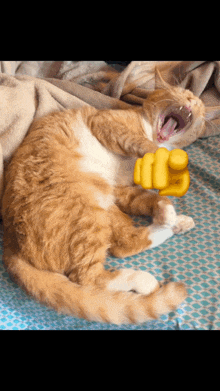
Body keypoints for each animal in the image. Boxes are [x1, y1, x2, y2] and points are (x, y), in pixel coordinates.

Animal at [1, 76, 205, 324]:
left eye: (199, 103)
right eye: (179, 92)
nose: (191, 99)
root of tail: (11, 244)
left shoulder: (121, 190)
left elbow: (148, 199)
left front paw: (165, 210)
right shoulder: (105, 123)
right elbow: (141, 144)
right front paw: (160, 159)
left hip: (103, 204)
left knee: (123, 243)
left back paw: (176, 223)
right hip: (87, 209)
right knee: (92, 275)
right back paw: (143, 277)